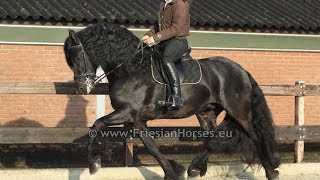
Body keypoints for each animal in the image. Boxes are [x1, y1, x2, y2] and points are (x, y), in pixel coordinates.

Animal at [63, 22, 278, 180]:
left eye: (78, 58)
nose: (82, 88)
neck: (131, 71)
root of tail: (241, 70)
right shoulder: (137, 119)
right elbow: (151, 147)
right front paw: (172, 172)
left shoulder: (127, 112)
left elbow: (97, 124)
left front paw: (94, 163)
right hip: (206, 112)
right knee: (213, 138)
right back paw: (194, 168)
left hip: (239, 112)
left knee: (255, 136)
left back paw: (271, 171)